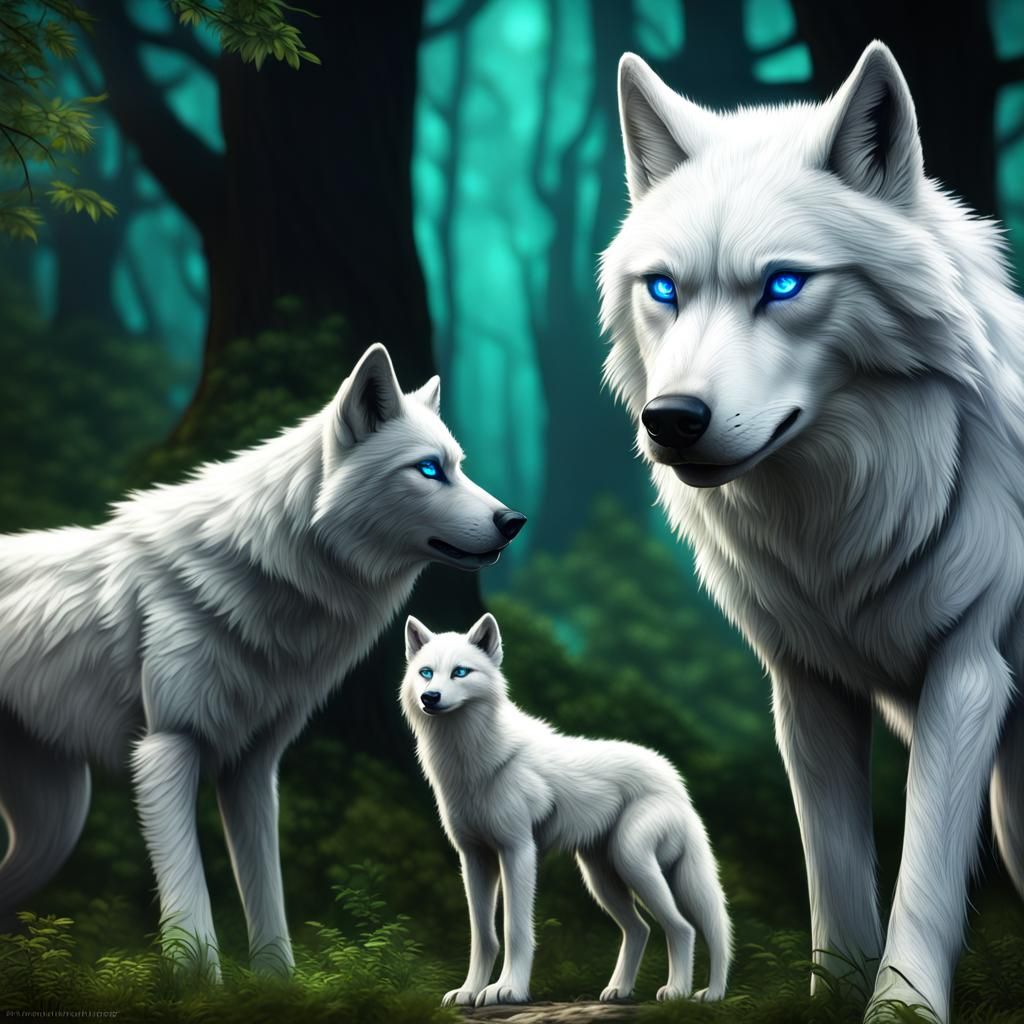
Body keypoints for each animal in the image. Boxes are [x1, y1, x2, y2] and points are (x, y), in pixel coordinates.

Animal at [0, 343, 526, 975]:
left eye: (460, 465)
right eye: (429, 469)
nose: (514, 522)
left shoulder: (252, 765)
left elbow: (267, 897)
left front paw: (277, 983)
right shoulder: (165, 750)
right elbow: (191, 906)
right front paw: (199, 986)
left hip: (55, 823)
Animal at [400, 612, 732, 1007]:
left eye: (460, 672)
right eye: (426, 672)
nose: (430, 697)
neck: (469, 763)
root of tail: (677, 781)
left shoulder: (518, 851)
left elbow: (514, 929)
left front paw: (507, 990)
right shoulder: (474, 857)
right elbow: (482, 935)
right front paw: (469, 991)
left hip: (632, 862)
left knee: (682, 927)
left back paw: (678, 992)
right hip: (601, 877)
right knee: (640, 928)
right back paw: (619, 990)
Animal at [599, 39, 1024, 1023]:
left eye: (783, 284)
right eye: (665, 289)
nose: (671, 420)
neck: (843, 518)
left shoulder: (968, 674)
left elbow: (924, 877)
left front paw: (900, 1010)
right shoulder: (805, 687)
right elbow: (833, 872)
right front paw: (831, 996)